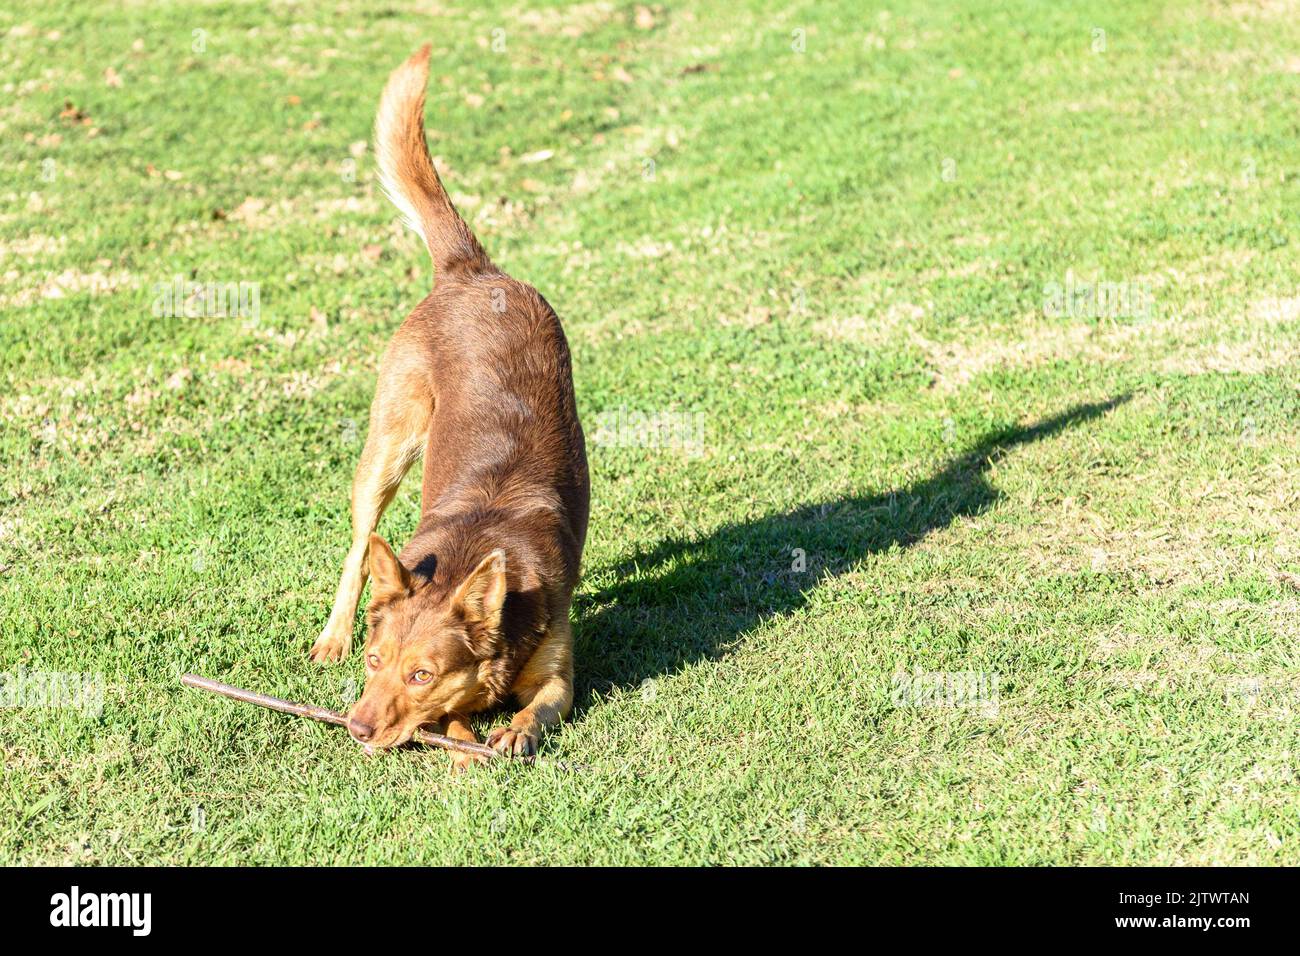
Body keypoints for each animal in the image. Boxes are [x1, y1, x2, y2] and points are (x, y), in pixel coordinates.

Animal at [309, 44, 590, 770]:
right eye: (375, 662)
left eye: (420, 675)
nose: (354, 728)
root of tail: (473, 271)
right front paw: (465, 737)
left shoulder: (559, 672)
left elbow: (540, 703)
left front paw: (513, 730)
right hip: (389, 445)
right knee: (359, 547)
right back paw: (332, 633)